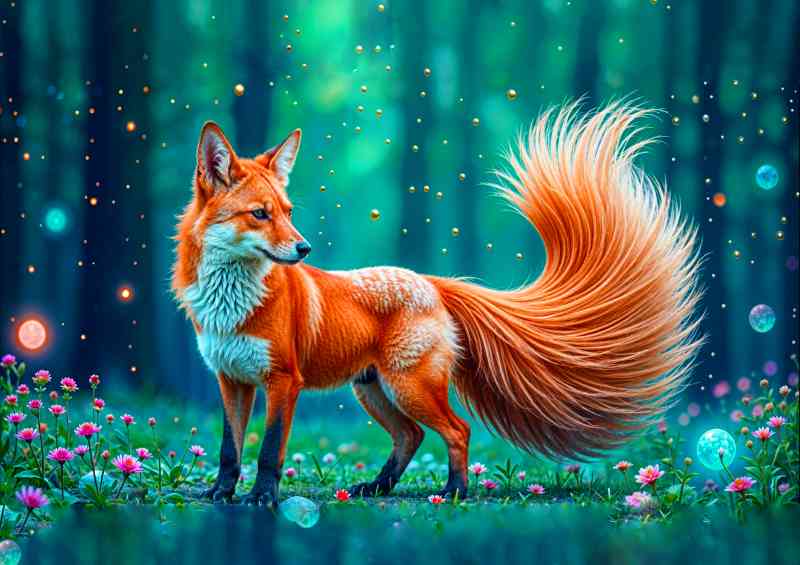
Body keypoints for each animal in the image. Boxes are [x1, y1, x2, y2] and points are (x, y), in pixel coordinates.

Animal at [172, 101, 703, 507]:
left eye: (288, 212)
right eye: (260, 214)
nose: (304, 249)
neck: (230, 307)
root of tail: (429, 281)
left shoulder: (284, 381)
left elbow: (268, 451)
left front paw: (262, 497)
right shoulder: (231, 380)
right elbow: (229, 449)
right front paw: (220, 494)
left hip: (408, 387)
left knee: (456, 430)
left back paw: (454, 492)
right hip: (374, 390)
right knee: (412, 436)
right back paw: (377, 488)